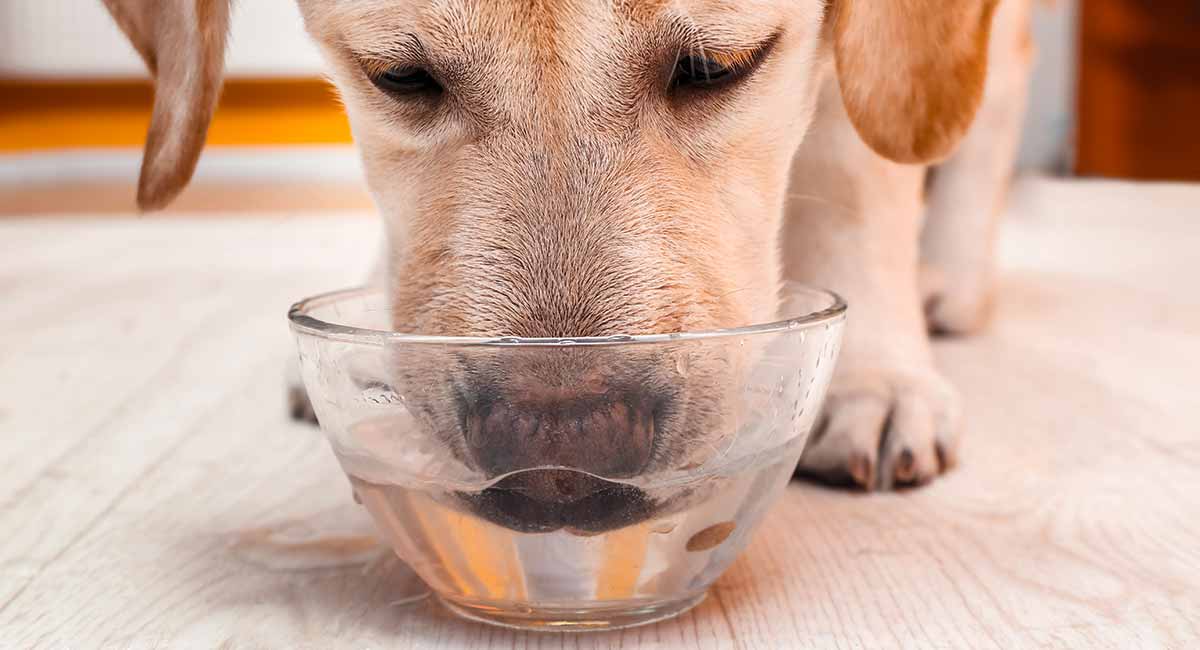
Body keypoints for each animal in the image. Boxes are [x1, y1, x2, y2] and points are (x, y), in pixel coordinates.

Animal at [103, 0, 1036, 496]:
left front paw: (873, 375)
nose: (561, 445)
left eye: (717, 67)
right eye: (398, 76)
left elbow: (856, 169)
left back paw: (952, 278)